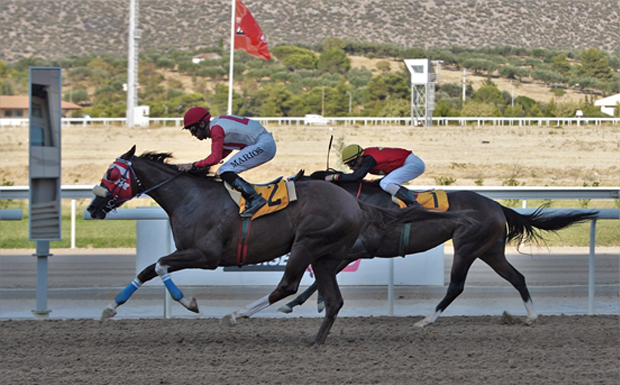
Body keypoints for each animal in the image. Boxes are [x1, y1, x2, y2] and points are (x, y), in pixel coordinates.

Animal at [86, 146, 464, 344]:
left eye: (111, 174)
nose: (91, 208)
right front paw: (110, 308)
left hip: (307, 243)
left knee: (287, 286)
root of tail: (355, 202)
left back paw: (235, 315)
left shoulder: (206, 255)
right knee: (333, 299)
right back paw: (316, 340)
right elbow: (148, 269)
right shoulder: (192, 253)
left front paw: (188, 302)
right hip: (326, 256)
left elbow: (161, 265)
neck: (191, 198)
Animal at [240, 171, 600, 328]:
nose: (270, 199)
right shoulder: (351, 249)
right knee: (517, 277)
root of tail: (497, 205)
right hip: (490, 250)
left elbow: (319, 275)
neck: (358, 200)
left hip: (467, 246)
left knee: (456, 286)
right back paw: (531, 315)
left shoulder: (357, 248)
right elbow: (319, 276)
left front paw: (296, 303)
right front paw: (300, 304)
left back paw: (426, 319)